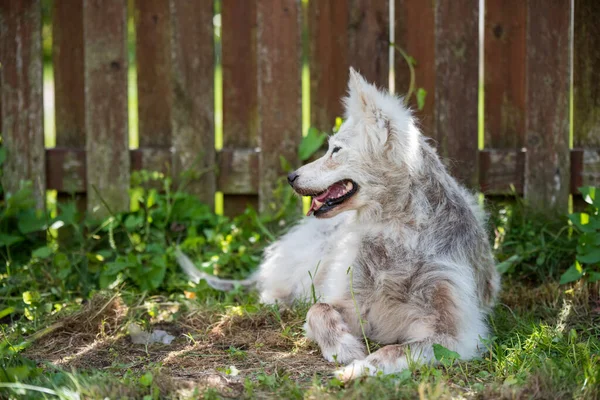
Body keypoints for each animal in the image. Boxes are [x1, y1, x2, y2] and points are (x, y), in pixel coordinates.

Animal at [180, 69, 500, 382]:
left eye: (335, 150)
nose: (291, 177)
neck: (396, 230)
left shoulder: (454, 334)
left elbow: (393, 350)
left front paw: (358, 370)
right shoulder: (353, 302)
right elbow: (318, 309)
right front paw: (344, 349)